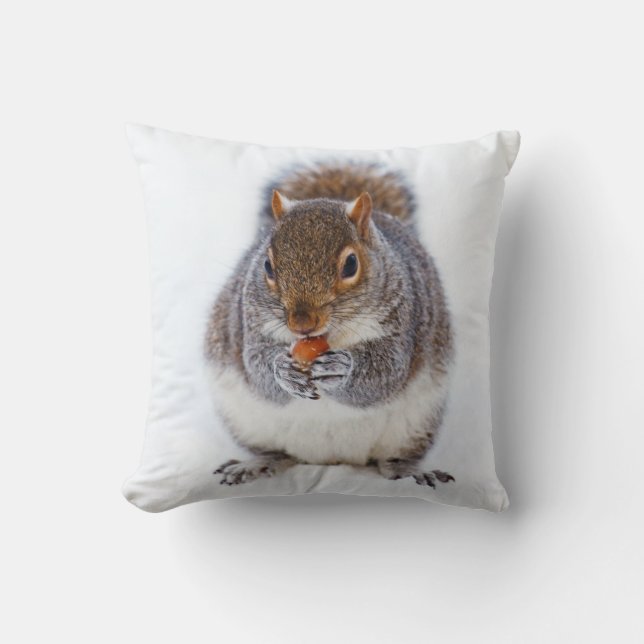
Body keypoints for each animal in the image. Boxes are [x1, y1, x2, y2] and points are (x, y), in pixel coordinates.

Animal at [205, 162, 454, 488]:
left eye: (350, 264)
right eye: (267, 266)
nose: (301, 324)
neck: (329, 336)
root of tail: (330, 459)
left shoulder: (403, 323)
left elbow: (385, 373)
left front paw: (342, 369)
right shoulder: (250, 325)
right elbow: (258, 369)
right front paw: (282, 371)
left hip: (416, 424)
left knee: (393, 457)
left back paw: (409, 470)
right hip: (246, 421)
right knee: (277, 452)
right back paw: (256, 464)